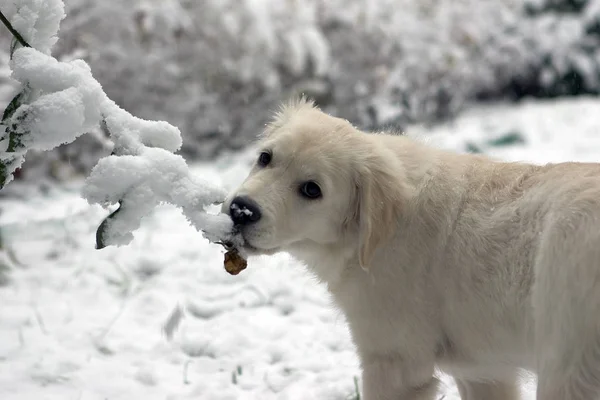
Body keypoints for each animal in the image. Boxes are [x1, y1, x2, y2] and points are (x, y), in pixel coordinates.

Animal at [223, 97, 600, 400]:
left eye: (311, 190)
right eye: (265, 158)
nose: (241, 210)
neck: (376, 233)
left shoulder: (394, 361)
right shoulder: (484, 370)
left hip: (567, 365)